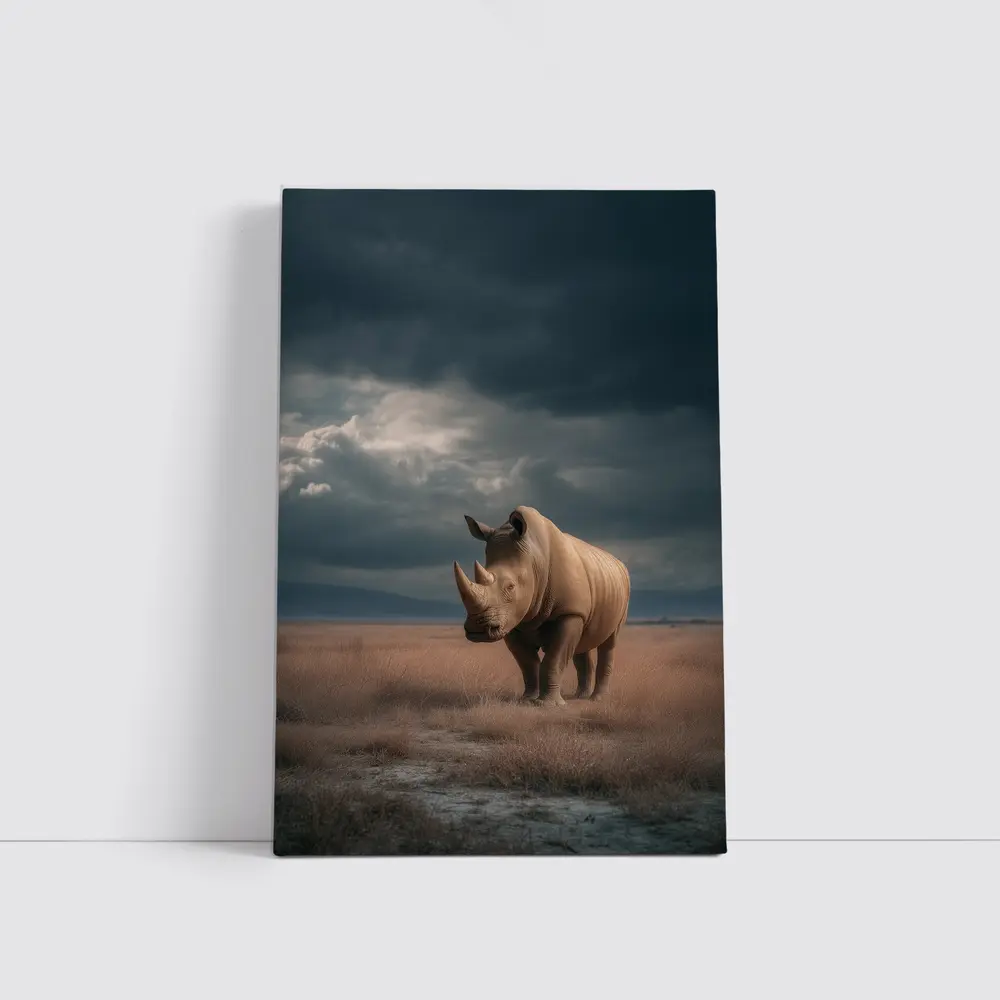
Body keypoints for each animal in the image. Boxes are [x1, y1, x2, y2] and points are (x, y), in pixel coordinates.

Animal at [453, 505, 630, 706]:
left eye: (510, 587)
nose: (477, 629)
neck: (534, 560)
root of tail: (619, 563)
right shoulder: (513, 619)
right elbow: (528, 663)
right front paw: (527, 699)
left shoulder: (568, 612)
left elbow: (554, 659)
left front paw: (548, 705)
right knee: (581, 644)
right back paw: (579, 697)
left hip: (619, 591)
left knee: (609, 643)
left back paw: (596, 699)